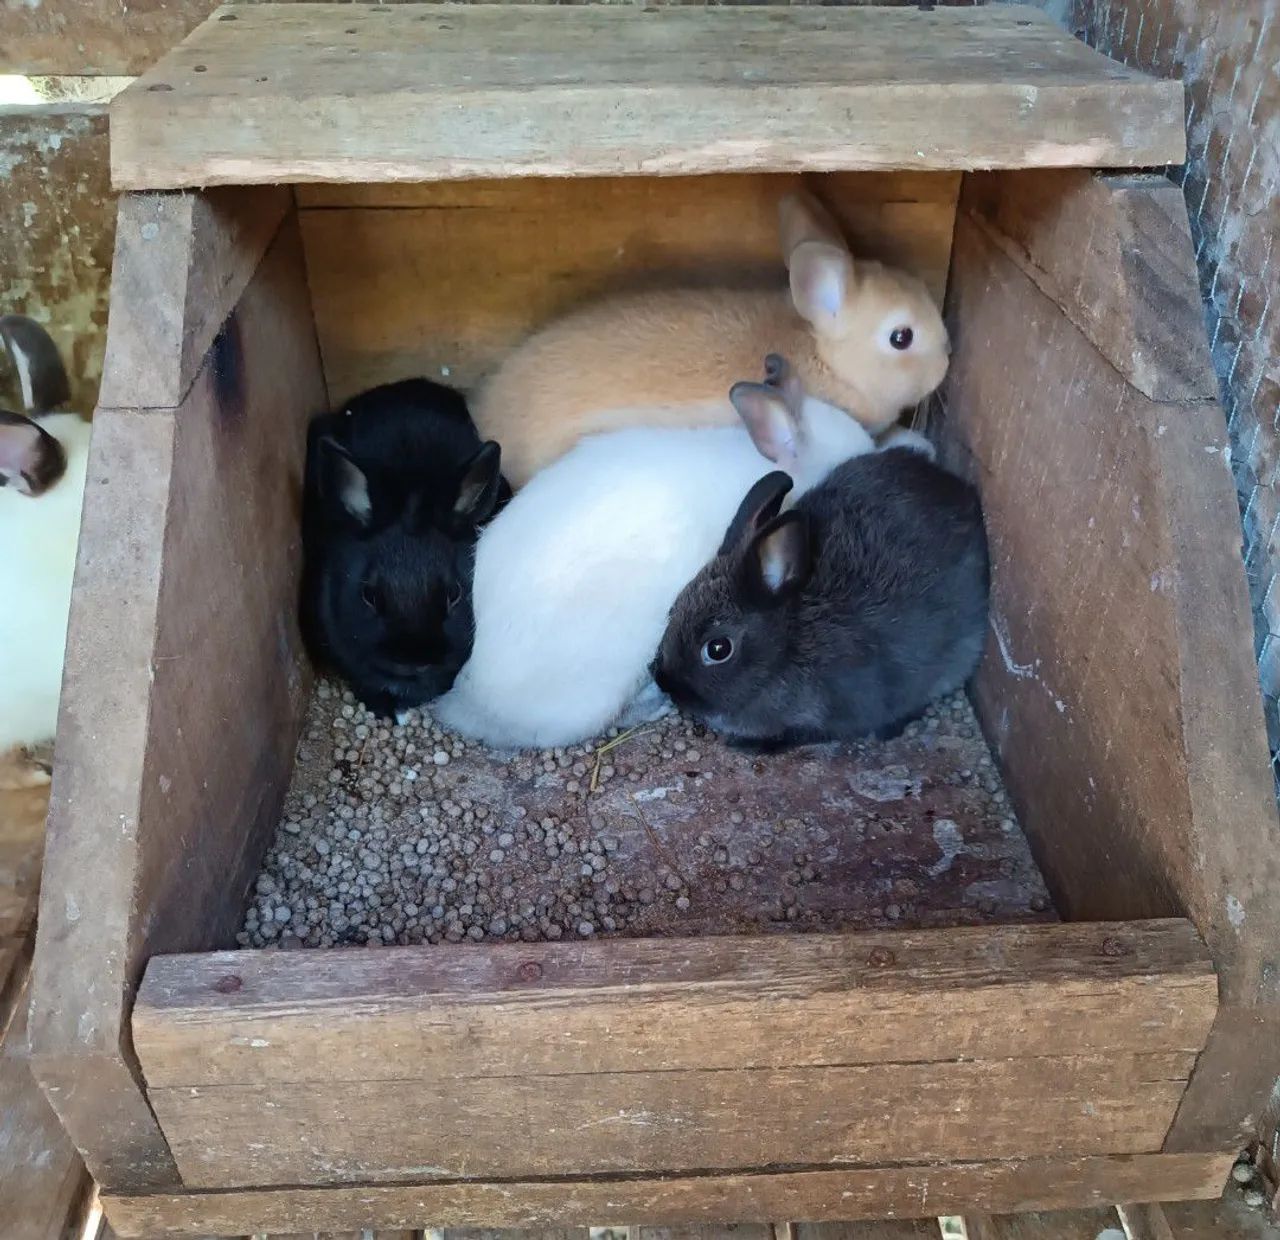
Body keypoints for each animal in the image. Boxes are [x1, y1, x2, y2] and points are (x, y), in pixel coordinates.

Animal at [651, 446, 990, 750]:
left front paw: (748, 745)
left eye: (718, 648)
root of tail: (963, 493)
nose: (664, 682)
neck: (787, 643)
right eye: (673, 609)